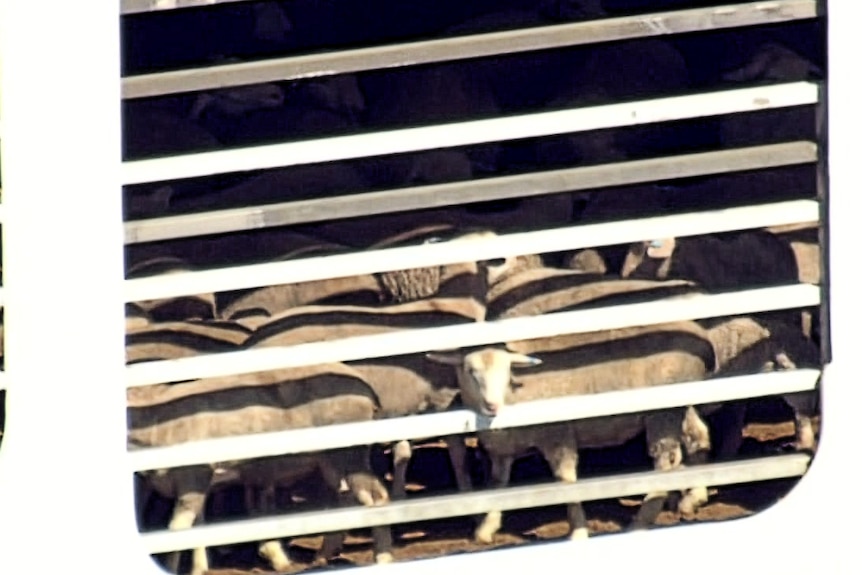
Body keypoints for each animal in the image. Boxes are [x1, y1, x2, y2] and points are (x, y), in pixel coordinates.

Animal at [426, 320, 716, 544]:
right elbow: (498, 484)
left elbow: (565, 481)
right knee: (697, 438)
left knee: (665, 462)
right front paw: (486, 529)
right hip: (683, 405)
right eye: (470, 371)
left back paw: (640, 523)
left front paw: (578, 531)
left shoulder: (557, 435)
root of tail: (703, 340)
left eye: (506, 371)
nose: (491, 405)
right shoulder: (503, 450)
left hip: (662, 412)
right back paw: (693, 499)